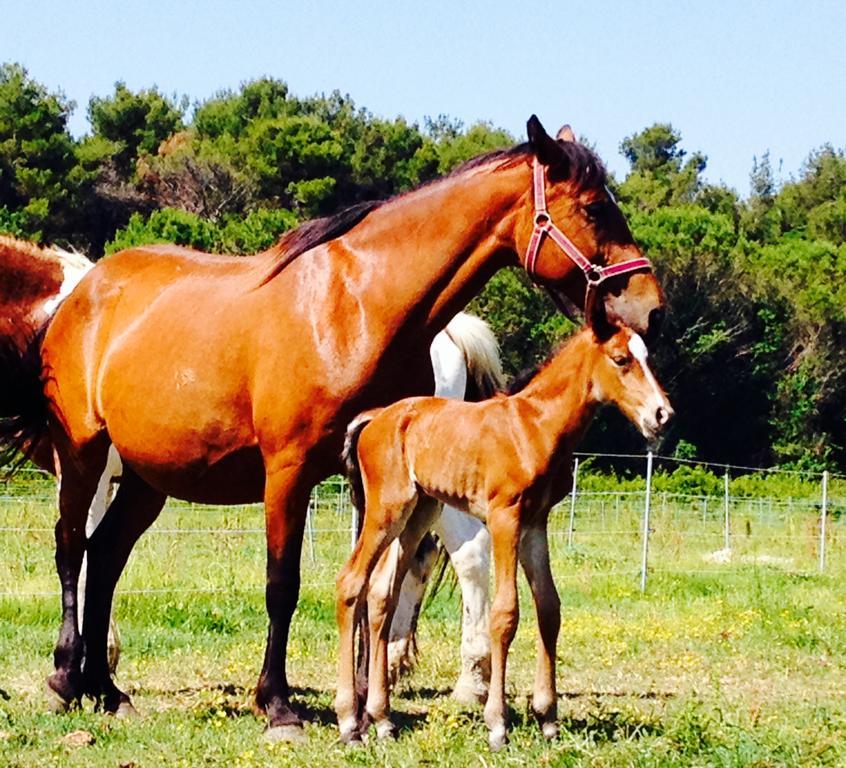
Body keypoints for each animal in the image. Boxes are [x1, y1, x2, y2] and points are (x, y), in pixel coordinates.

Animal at [338, 314, 676, 752]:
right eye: (621, 359)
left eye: (648, 357)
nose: (662, 414)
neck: (533, 426)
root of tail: (376, 418)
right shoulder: (505, 518)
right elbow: (505, 613)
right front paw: (497, 724)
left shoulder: (535, 524)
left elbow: (549, 608)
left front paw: (547, 718)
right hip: (388, 510)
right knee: (351, 583)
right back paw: (349, 720)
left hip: (419, 513)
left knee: (382, 593)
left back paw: (381, 719)